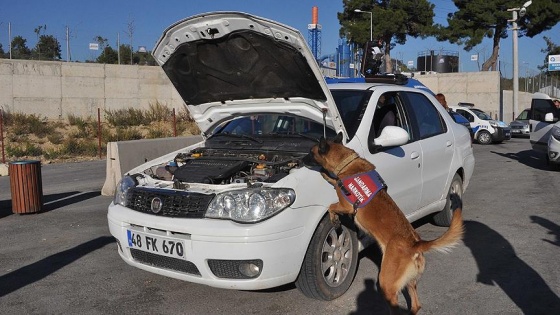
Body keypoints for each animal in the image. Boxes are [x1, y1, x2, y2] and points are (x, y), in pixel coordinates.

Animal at [306, 135, 464, 315]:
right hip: (410, 282)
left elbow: (331, 206)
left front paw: (334, 216)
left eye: (310, 152)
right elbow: (334, 182)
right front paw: (329, 177)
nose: (299, 160)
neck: (346, 162)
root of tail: (415, 244)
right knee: (416, 305)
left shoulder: (346, 206)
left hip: (386, 282)